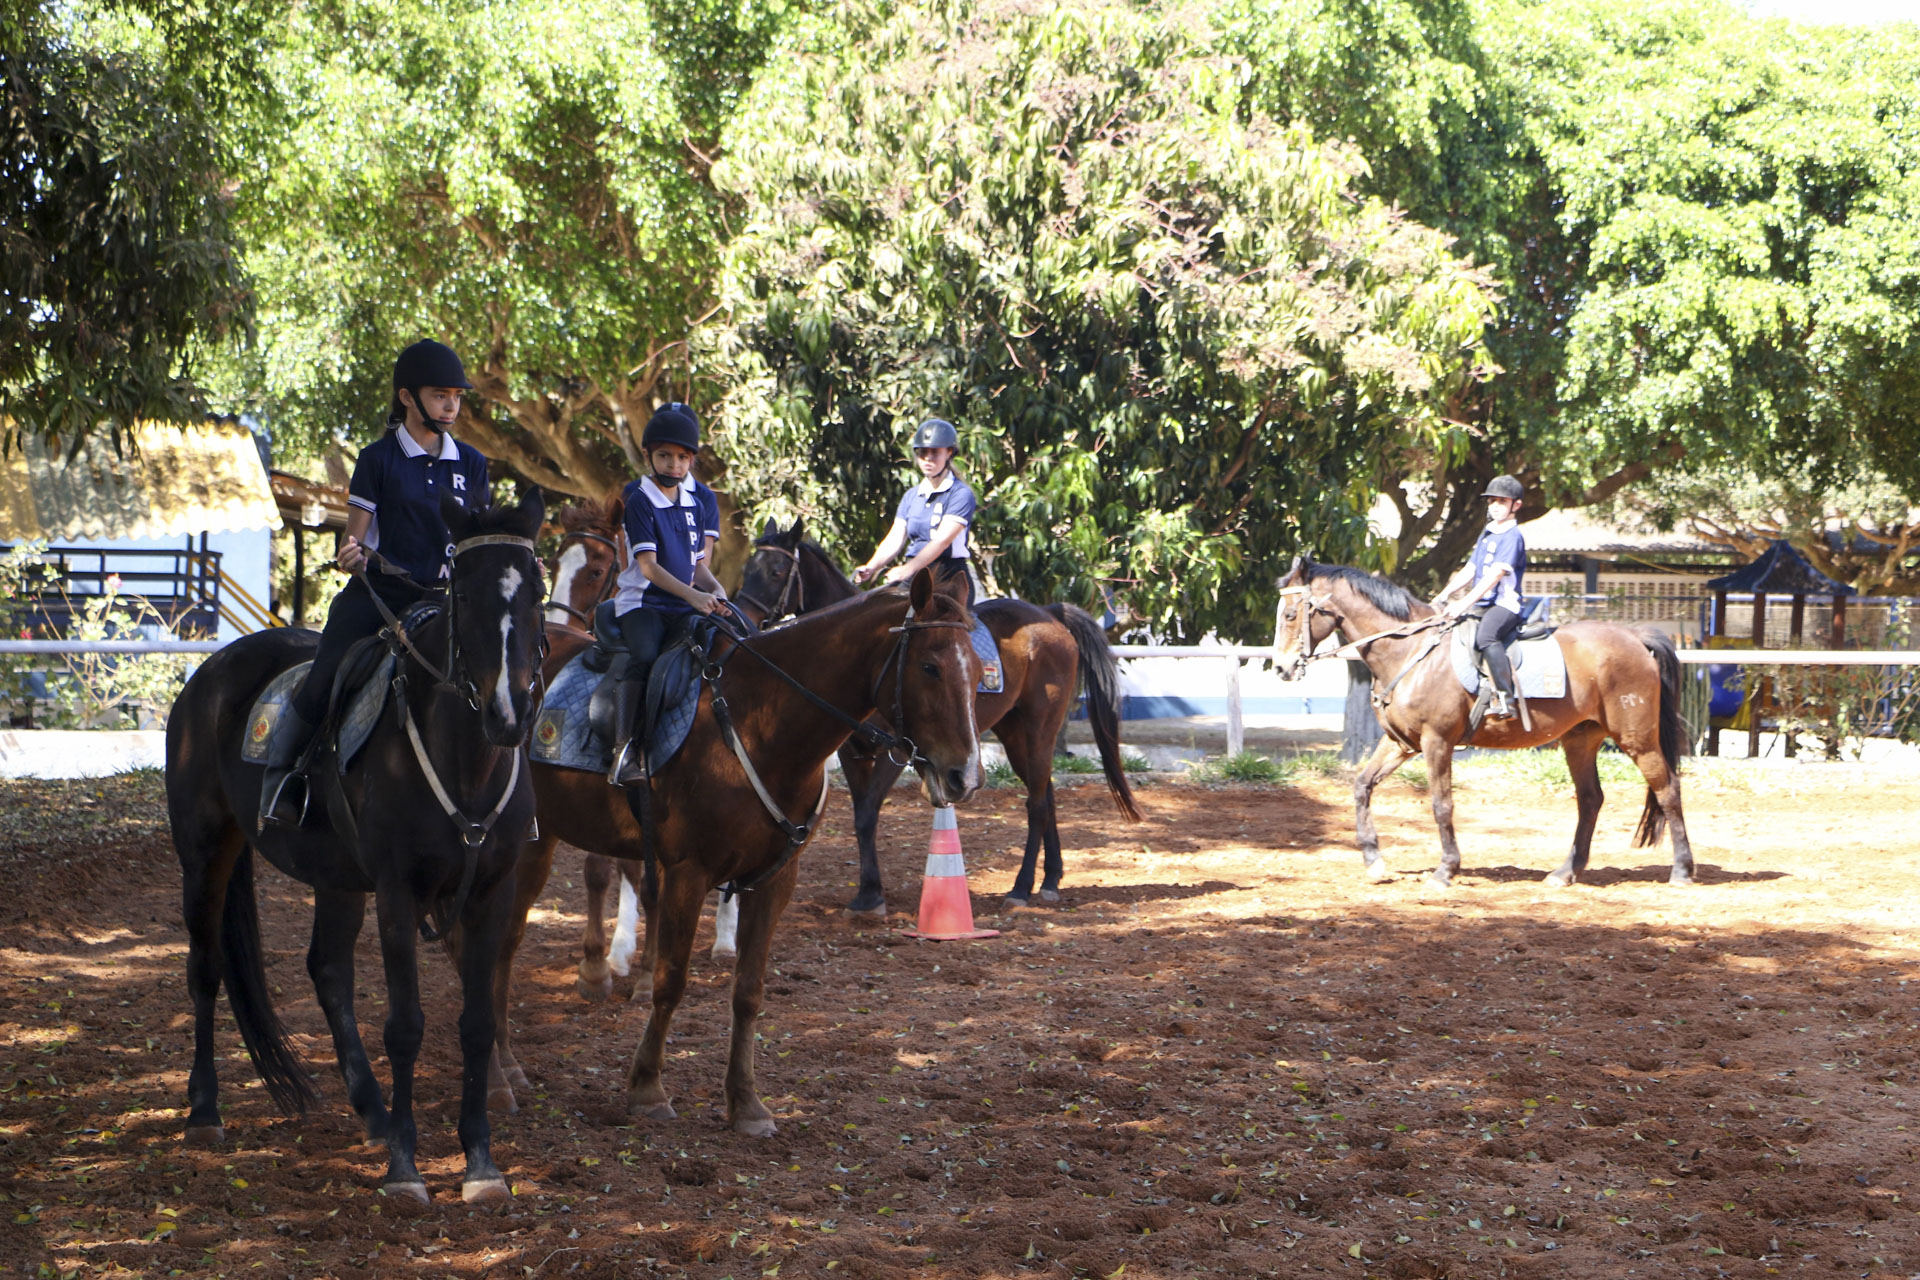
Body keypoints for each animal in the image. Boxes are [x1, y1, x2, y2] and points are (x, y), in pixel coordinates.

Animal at [491, 571, 990, 1128]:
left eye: (976, 670)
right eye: (929, 666)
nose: (965, 776)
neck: (760, 722)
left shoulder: (774, 880)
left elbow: (749, 990)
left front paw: (747, 1102)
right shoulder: (687, 873)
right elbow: (670, 981)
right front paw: (648, 1087)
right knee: (501, 947)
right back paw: (503, 1071)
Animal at [725, 525, 1128, 917]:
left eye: (777, 572)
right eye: (748, 569)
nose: (741, 614)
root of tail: (1050, 615)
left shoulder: (899, 750)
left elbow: (868, 814)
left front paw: (871, 896)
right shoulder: (852, 752)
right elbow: (860, 815)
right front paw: (868, 892)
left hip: (1037, 729)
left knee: (1038, 804)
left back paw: (1021, 888)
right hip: (1016, 734)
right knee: (1045, 794)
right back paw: (1051, 880)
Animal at [1274, 560, 1697, 890]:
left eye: (1291, 615)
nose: (1280, 668)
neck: (1410, 652)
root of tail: (1634, 636)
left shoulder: (1436, 741)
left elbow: (1441, 803)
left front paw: (1446, 870)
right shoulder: (1400, 743)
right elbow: (1362, 786)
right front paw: (1374, 862)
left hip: (1636, 738)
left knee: (1668, 790)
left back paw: (1681, 870)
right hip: (1580, 740)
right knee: (1591, 799)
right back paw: (1565, 873)